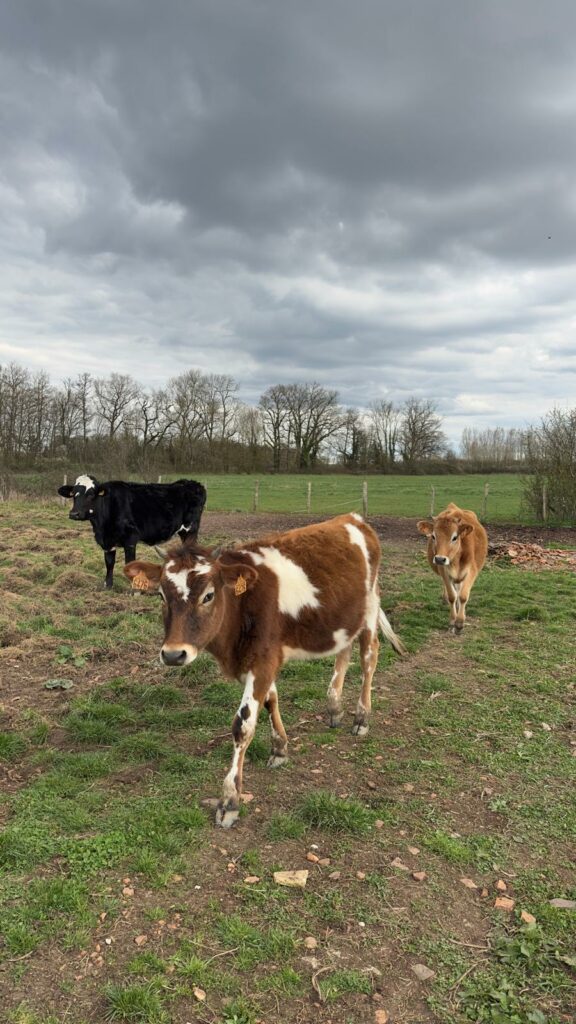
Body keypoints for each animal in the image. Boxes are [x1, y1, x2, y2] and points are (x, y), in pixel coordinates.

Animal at [58, 475, 207, 589]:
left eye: (90, 494)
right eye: (73, 494)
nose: (74, 514)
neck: (102, 526)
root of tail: (191, 483)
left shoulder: (130, 539)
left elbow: (129, 563)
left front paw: (133, 589)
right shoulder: (107, 542)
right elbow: (109, 563)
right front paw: (108, 585)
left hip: (190, 530)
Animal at [123, 513, 406, 828]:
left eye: (208, 595)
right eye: (161, 595)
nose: (173, 654)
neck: (242, 606)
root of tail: (352, 518)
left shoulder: (263, 659)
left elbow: (243, 725)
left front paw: (229, 800)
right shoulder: (260, 660)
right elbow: (271, 700)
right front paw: (280, 748)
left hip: (369, 612)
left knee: (369, 658)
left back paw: (361, 717)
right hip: (345, 618)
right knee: (343, 653)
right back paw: (334, 707)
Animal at [417, 502, 488, 632]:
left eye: (454, 537)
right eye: (433, 536)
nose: (440, 559)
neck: (456, 560)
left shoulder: (472, 571)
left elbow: (463, 596)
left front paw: (460, 622)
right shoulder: (444, 571)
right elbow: (452, 596)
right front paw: (452, 620)